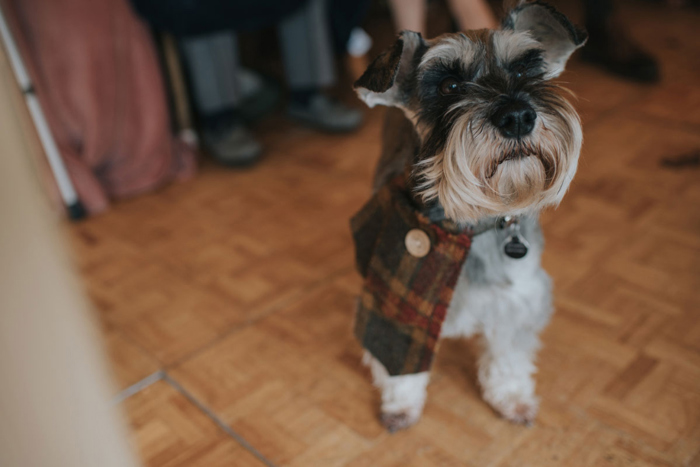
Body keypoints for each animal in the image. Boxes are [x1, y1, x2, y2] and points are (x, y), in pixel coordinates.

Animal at [352, 0, 588, 432]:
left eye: (524, 70)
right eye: (449, 87)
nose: (517, 116)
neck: (474, 219)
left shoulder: (517, 298)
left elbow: (509, 355)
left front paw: (511, 397)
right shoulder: (396, 297)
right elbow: (399, 357)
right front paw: (401, 403)